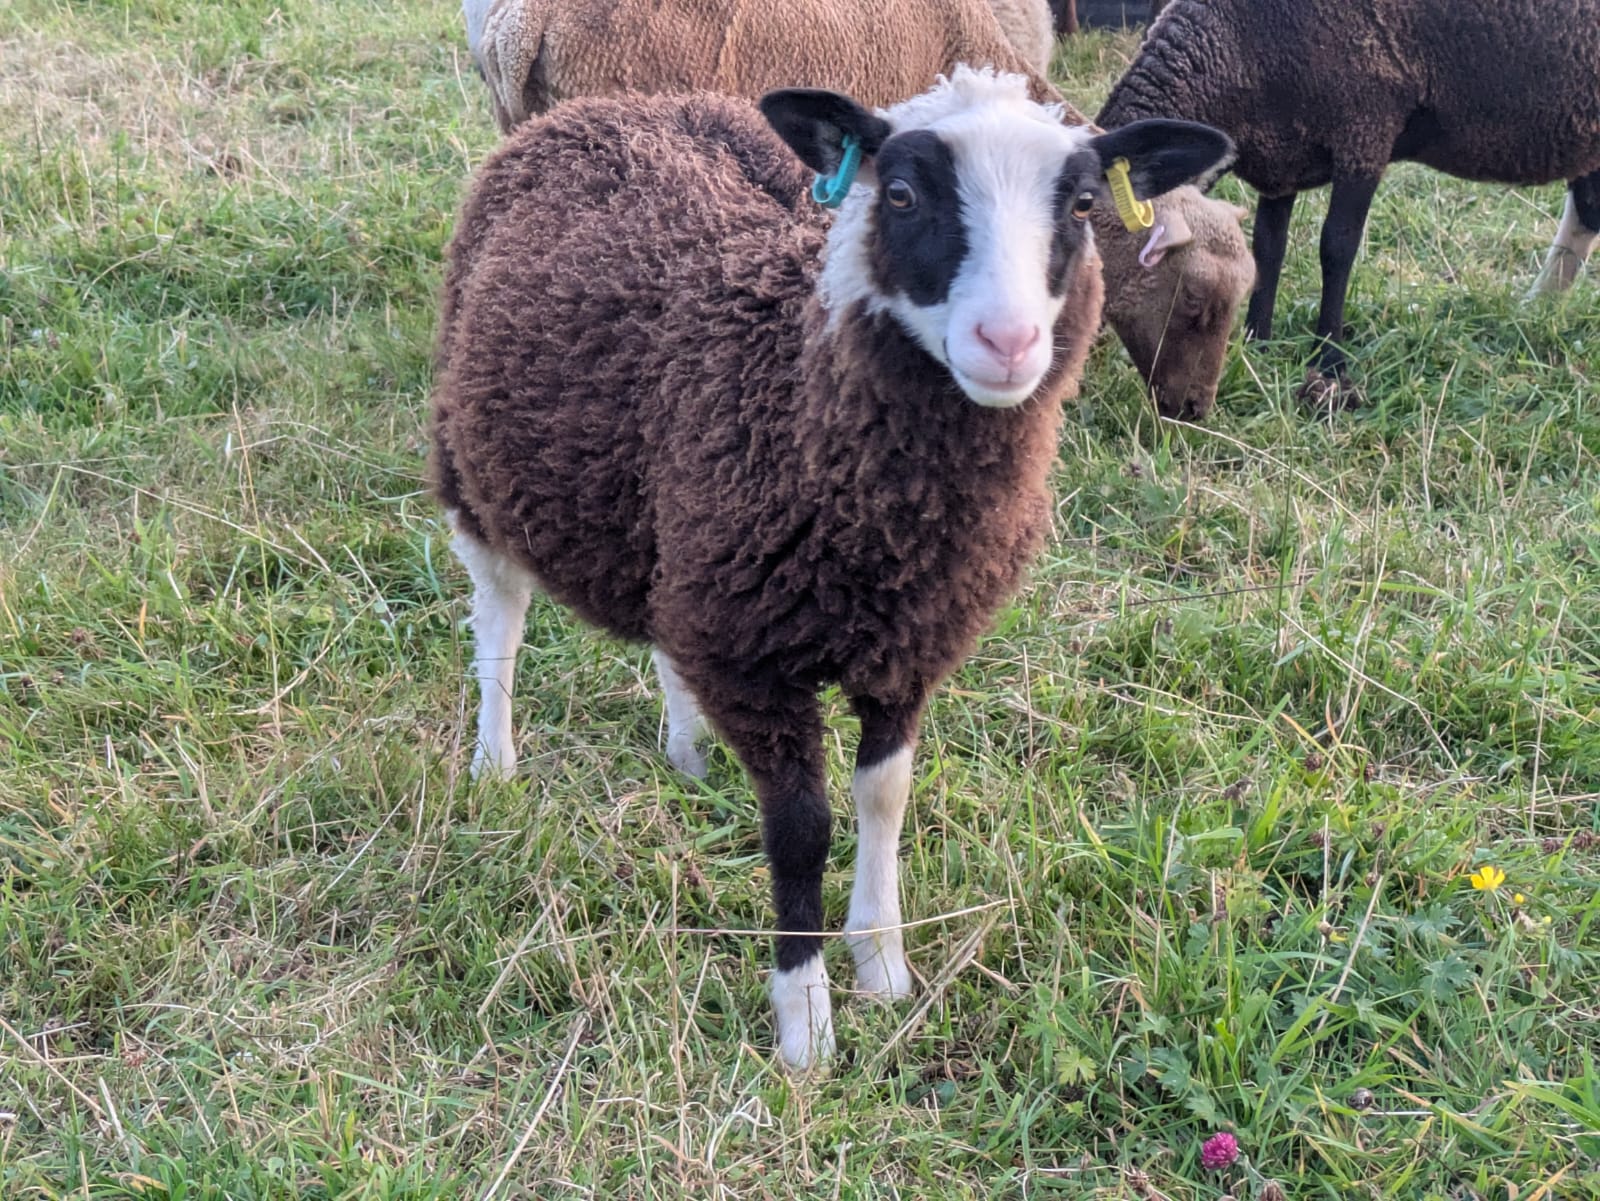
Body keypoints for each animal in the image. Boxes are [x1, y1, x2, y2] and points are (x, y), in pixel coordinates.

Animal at [430, 68, 1232, 1069]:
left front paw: (882, 964)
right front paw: (805, 1023)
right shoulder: (754, 659)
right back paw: (493, 762)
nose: (1008, 343)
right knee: (498, 615)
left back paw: (686, 753)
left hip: (675, 529)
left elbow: (883, 796)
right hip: (471, 461)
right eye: (903, 194)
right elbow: (802, 828)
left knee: (662, 628)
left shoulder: (903, 644)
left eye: (1083, 204)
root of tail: (620, 105)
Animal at [1098, 0, 1600, 404]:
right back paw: (1538, 309)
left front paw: (1329, 361)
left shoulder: (1365, 130)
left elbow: (1336, 248)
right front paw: (1258, 343)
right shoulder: (1278, 155)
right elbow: (1268, 249)